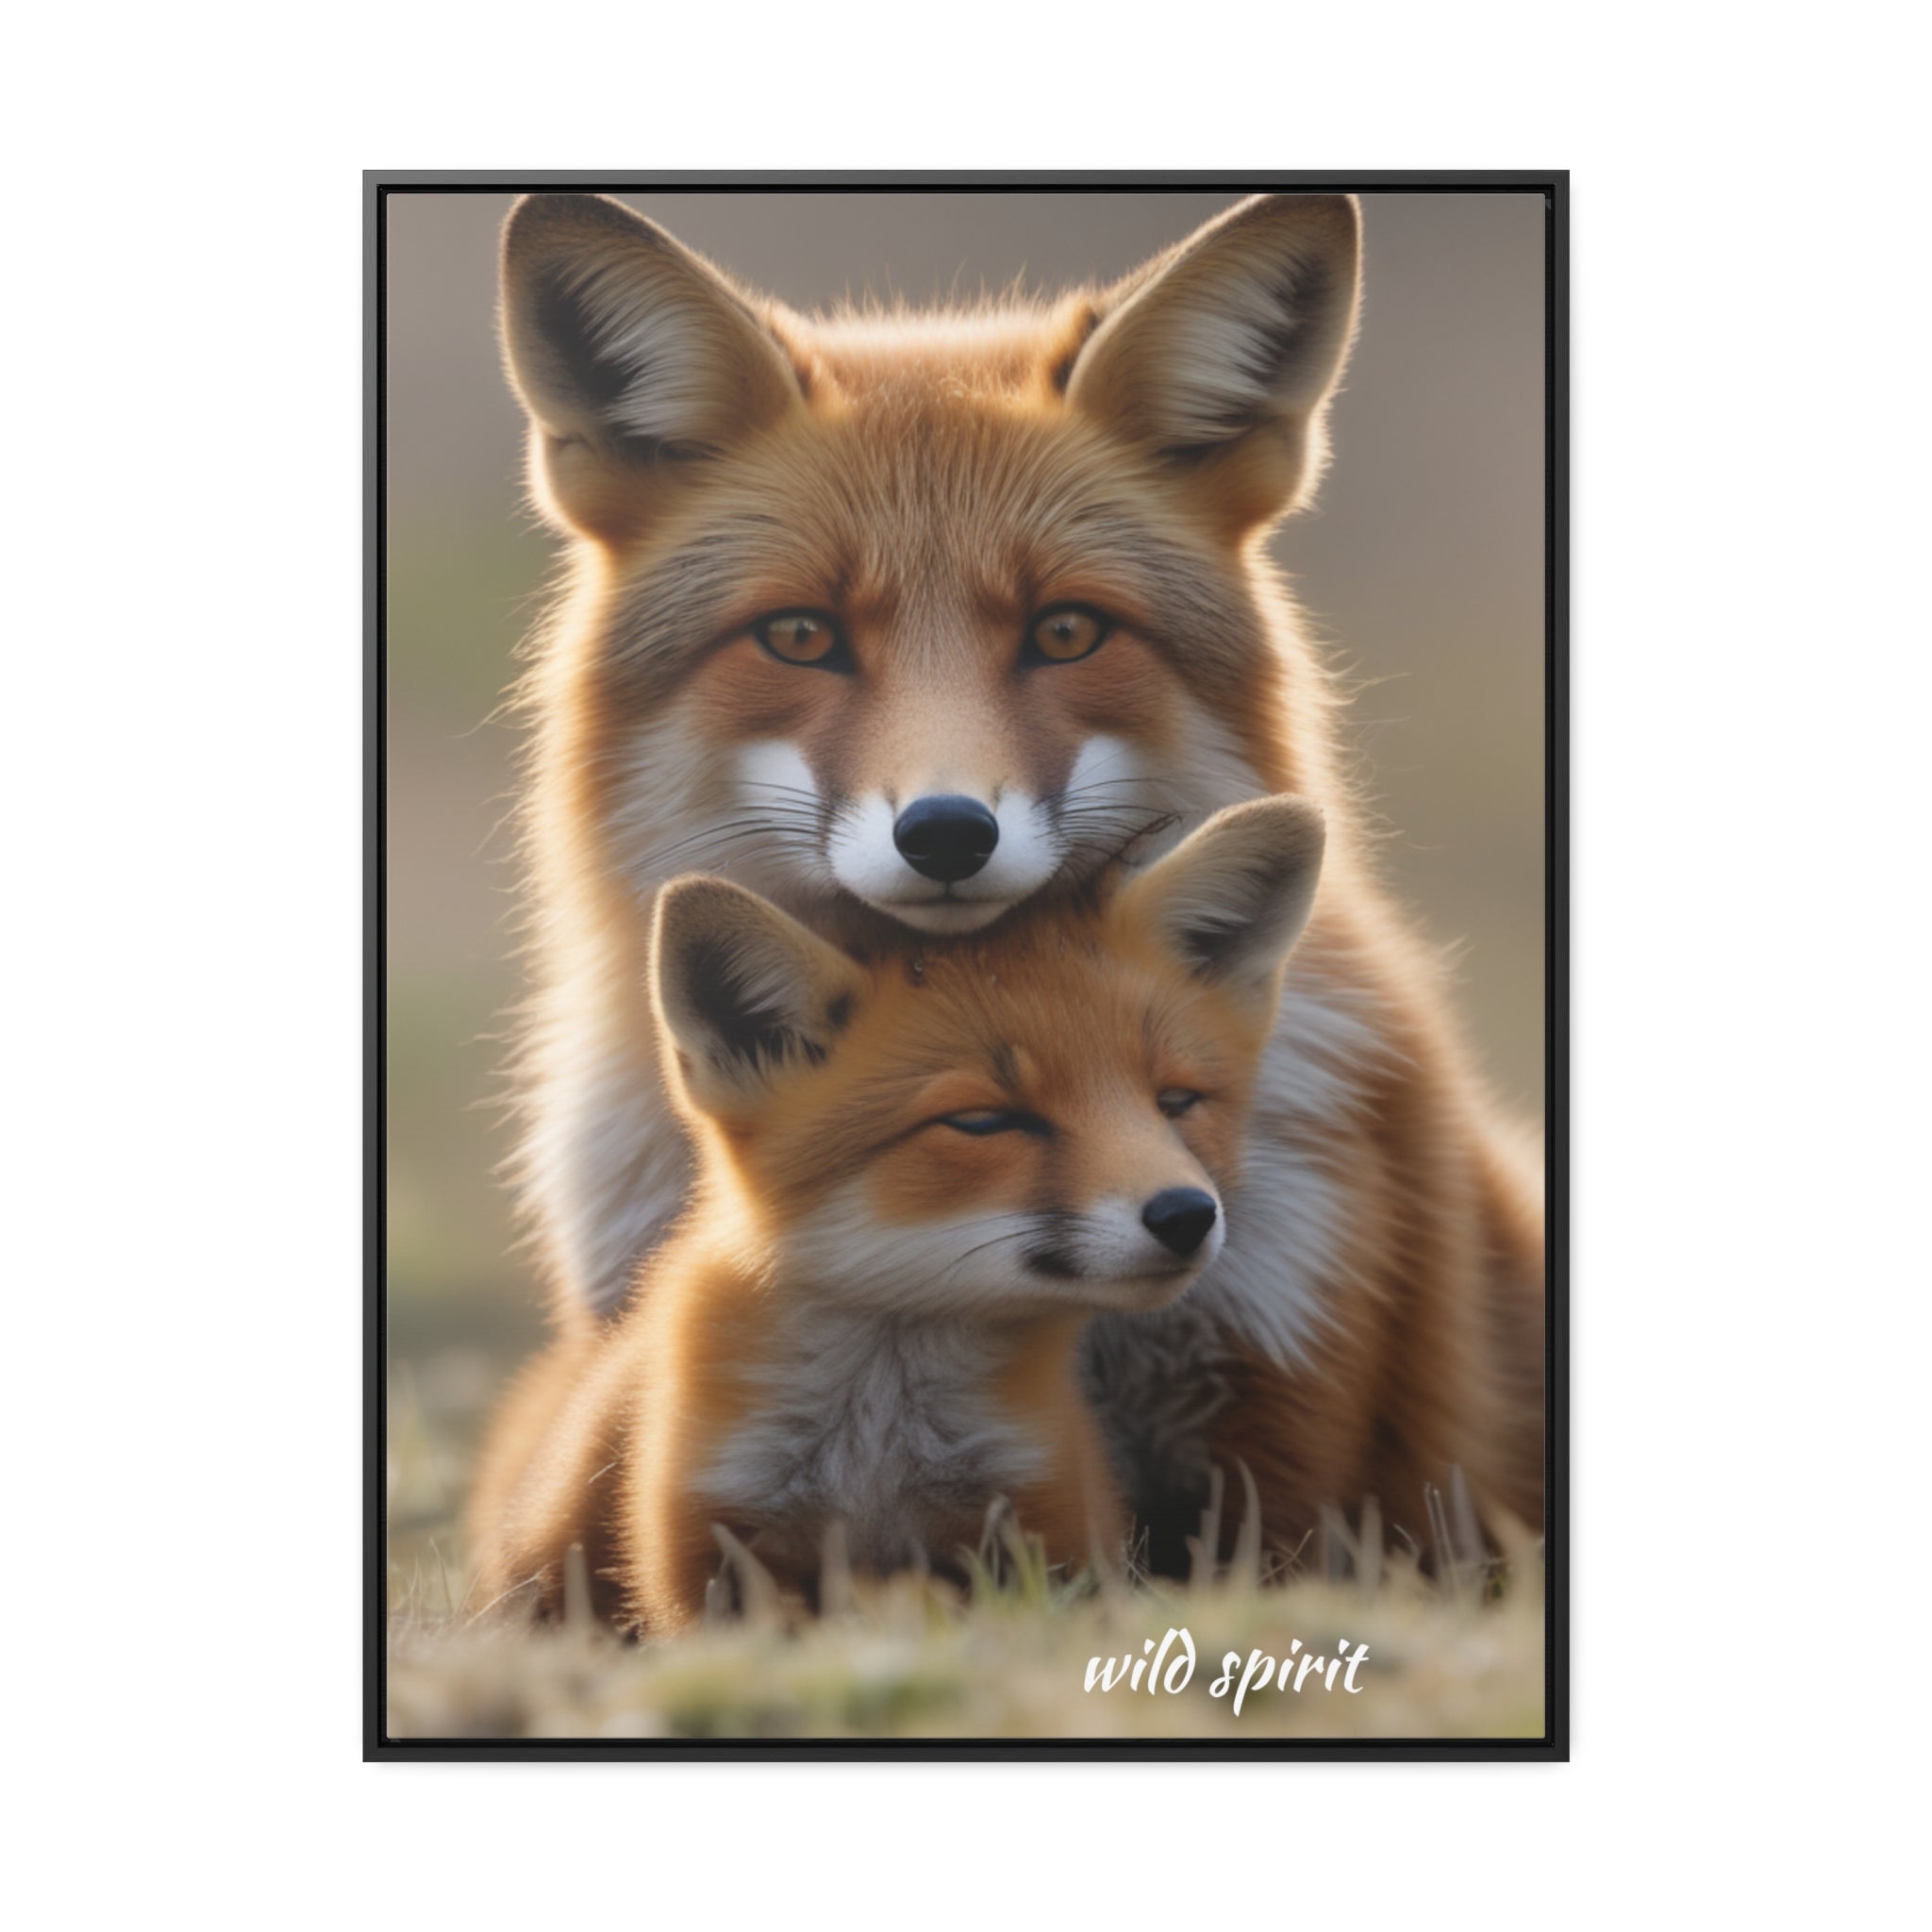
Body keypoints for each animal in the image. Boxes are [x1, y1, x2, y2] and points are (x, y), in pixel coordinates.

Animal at [468, 798, 1328, 1629]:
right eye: (984, 1121)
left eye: (1176, 1102)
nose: (1186, 1214)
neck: (877, 1447)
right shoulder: (707, 1551)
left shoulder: (1047, 1527)